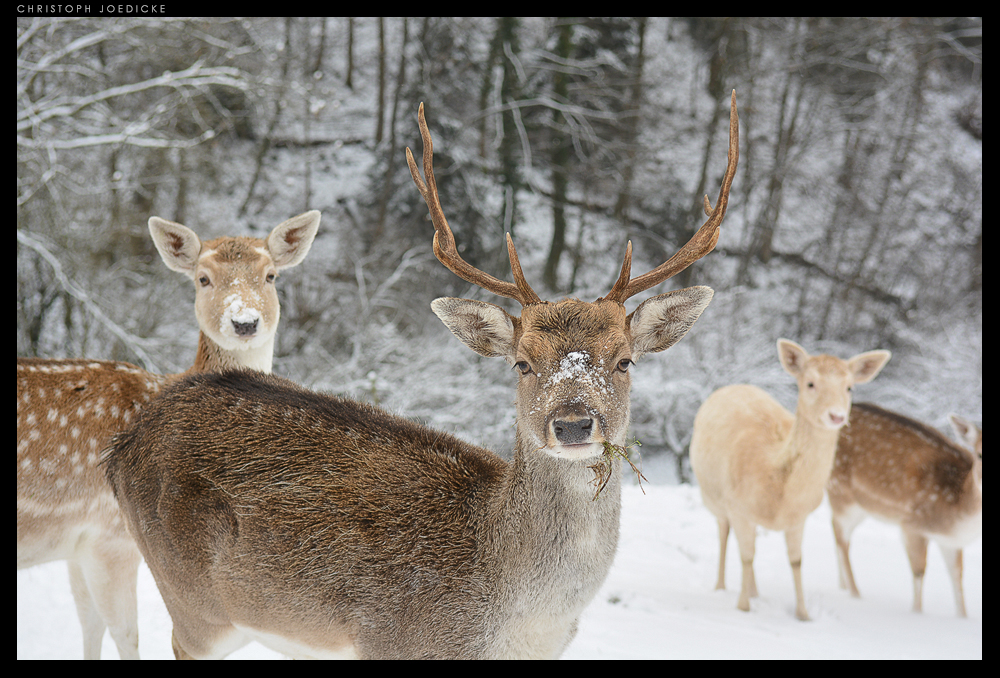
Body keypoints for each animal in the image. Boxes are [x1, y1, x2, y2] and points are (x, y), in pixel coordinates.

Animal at [16, 211, 320, 660]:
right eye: (203, 278)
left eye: (271, 276)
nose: (244, 322)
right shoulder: (109, 535)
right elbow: (126, 633)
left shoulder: (75, 546)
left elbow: (89, 625)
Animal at [103, 94, 744, 660]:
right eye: (522, 362)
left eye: (624, 360)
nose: (572, 423)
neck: (519, 622)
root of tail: (126, 442)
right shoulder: (393, 642)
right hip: (192, 603)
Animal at [688, 340, 892, 620]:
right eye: (810, 383)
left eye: (849, 387)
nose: (836, 416)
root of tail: (731, 386)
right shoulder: (737, 506)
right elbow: (746, 555)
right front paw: (742, 607)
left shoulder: (799, 517)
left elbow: (796, 561)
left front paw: (803, 614)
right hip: (713, 499)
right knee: (724, 534)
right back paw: (720, 586)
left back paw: (755, 591)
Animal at [828, 406, 984, 620]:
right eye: (979, 454)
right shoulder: (912, 524)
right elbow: (919, 571)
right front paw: (916, 614)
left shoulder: (950, 541)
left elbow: (957, 576)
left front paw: (963, 618)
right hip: (842, 494)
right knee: (841, 540)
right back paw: (855, 595)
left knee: (837, 535)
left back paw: (842, 587)